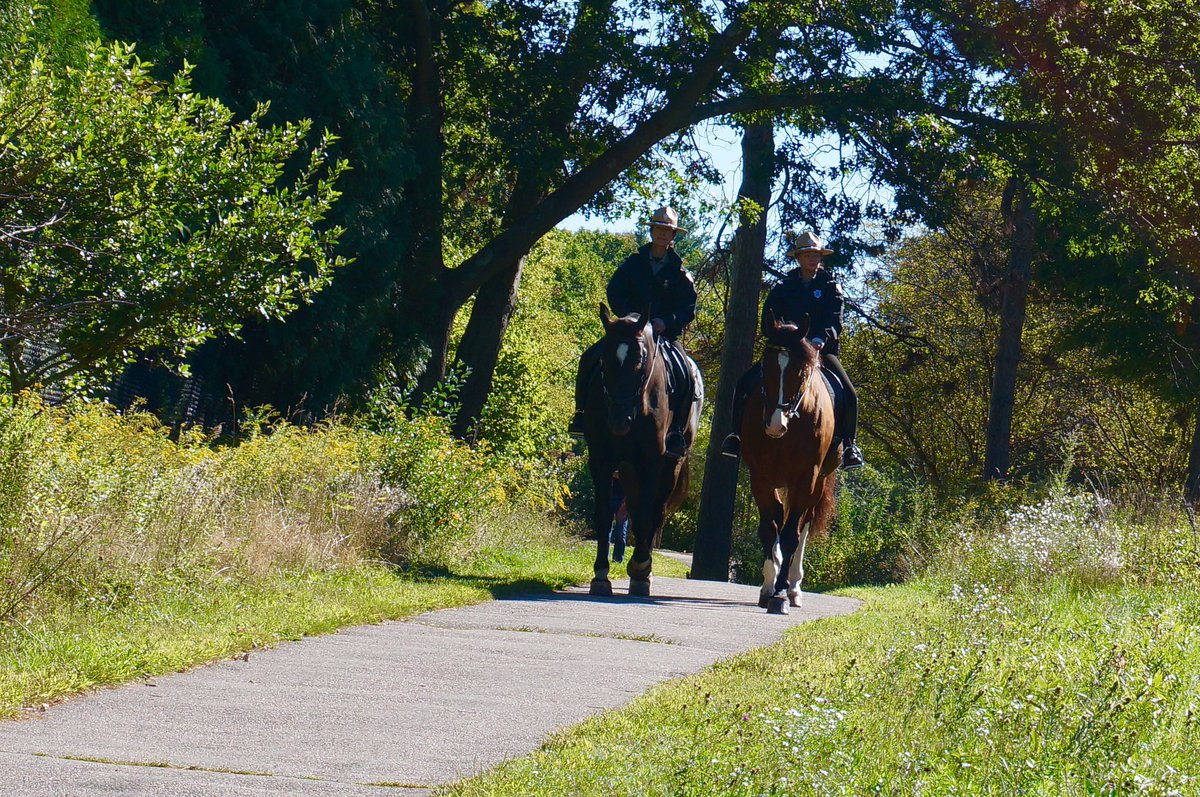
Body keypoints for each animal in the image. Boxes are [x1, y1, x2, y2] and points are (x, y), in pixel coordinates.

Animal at [581, 303, 702, 597]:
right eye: (604, 361)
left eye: (640, 359)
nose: (618, 421)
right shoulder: (600, 460)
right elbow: (605, 516)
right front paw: (601, 575)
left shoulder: (651, 463)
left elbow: (648, 516)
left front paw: (640, 571)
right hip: (627, 470)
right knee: (635, 510)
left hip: (669, 467)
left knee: (655, 512)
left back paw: (642, 568)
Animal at [739, 314, 839, 615]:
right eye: (765, 365)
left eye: (801, 372)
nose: (775, 424)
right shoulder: (761, 477)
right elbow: (769, 529)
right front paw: (768, 586)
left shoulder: (806, 479)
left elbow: (791, 535)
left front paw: (781, 594)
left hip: (817, 484)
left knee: (802, 526)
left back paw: (794, 587)